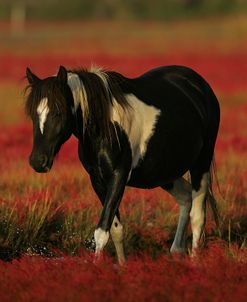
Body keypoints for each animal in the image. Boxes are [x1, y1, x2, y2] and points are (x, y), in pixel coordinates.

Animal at [25, 65, 220, 264]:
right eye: (33, 114)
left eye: (58, 112)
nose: (37, 162)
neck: (106, 127)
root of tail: (199, 84)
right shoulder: (98, 180)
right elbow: (115, 229)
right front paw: (122, 266)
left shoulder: (118, 176)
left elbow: (101, 232)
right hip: (165, 173)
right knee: (186, 197)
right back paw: (177, 250)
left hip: (201, 163)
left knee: (198, 215)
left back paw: (194, 262)